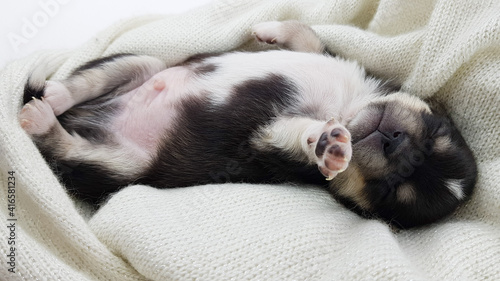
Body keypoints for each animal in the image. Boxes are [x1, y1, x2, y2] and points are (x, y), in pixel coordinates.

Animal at [18, 21, 476, 228]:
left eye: (390, 191)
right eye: (435, 132)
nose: (398, 145)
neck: (346, 107)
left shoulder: (266, 143)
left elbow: (299, 137)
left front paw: (329, 146)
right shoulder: (326, 57)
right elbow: (307, 35)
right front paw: (269, 28)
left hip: (123, 165)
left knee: (62, 148)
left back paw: (40, 118)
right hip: (139, 63)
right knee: (89, 82)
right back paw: (54, 97)